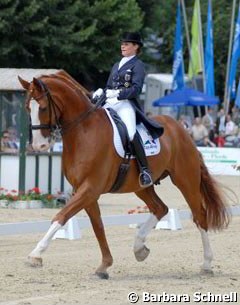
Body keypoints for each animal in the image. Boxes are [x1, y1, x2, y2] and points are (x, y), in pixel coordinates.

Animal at [18, 73, 229, 278]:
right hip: (141, 186)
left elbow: (61, 216)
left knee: (199, 216)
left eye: (43, 107)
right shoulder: (84, 191)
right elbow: (98, 226)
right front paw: (104, 266)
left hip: (186, 180)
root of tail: (181, 129)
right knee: (160, 208)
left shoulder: (90, 188)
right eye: (27, 108)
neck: (83, 131)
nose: (39, 146)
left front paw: (35, 255)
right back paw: (139, 248)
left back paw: (206, 264)